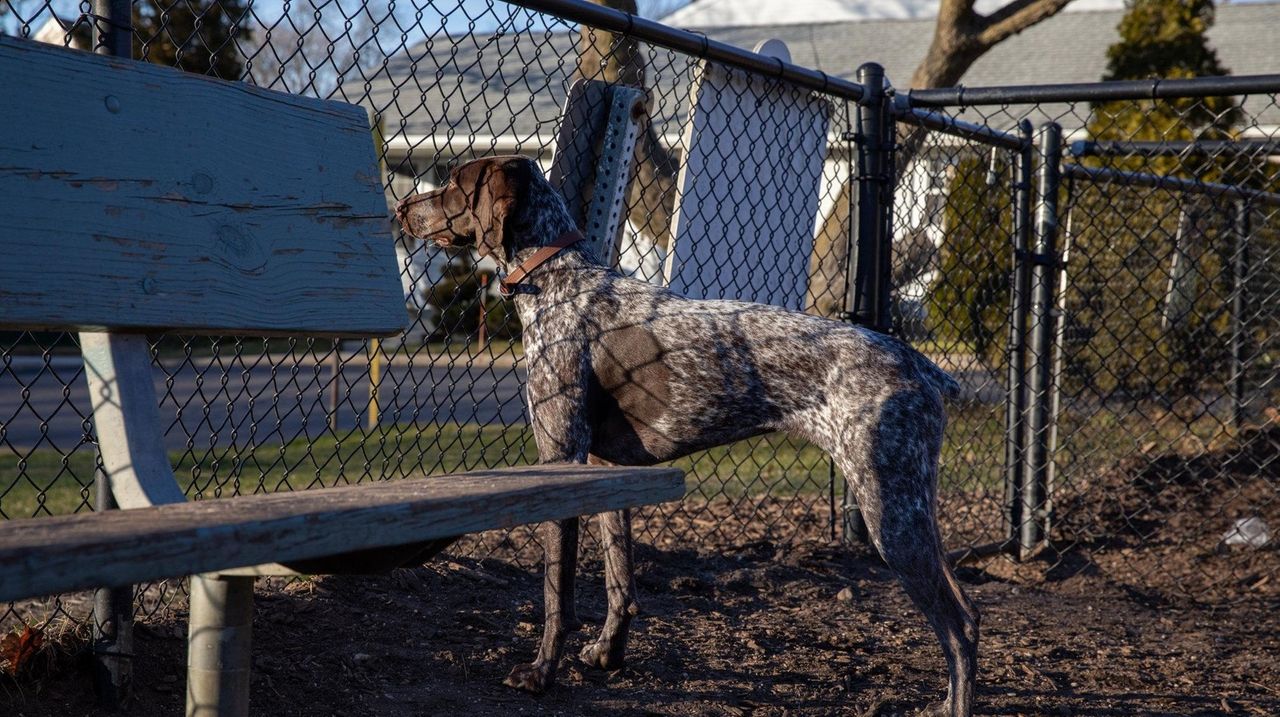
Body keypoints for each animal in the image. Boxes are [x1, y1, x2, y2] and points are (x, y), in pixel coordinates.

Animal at [396, 154, 977, 711]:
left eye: (453, 183)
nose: (402, 206)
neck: (559, 282)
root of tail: (919, 365)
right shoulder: (608, 471)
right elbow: (620, 583)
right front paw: (608, 654)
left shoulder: (561, 463)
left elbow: (556, 594)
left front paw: (540, 674)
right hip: (911, 503)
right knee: (967, 614)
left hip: (889, 511)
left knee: (957, 627)